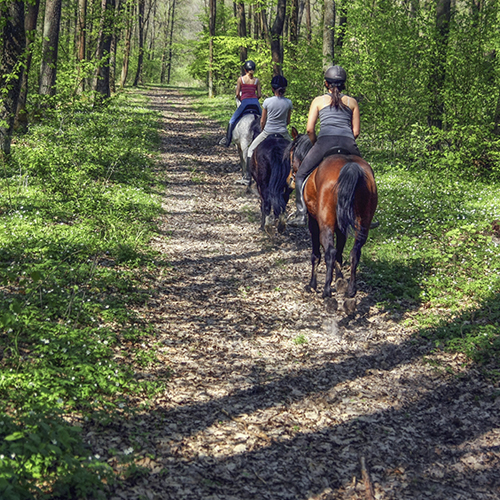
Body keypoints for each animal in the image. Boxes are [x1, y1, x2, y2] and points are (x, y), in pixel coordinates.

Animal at [288, 136, 376, 300]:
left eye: (291, 153)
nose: (291, 177)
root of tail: (350, 166)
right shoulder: (342, 226)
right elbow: (340, 252)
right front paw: (340, 280)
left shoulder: (313, 221)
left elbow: (317, 253)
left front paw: (312, 284)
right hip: (363, 221)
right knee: (355, 252)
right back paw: (351, 291)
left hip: (325, 222)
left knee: (330, 251)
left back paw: (326, 292)